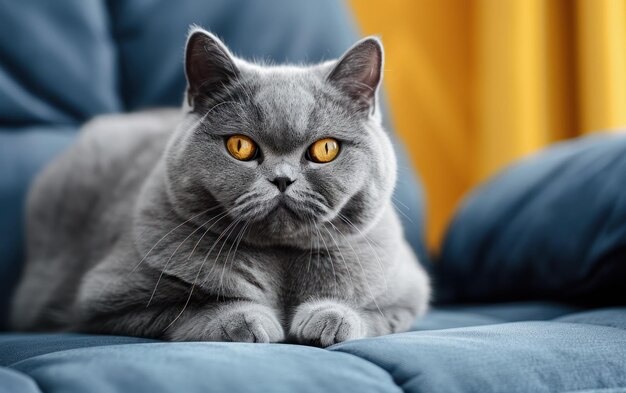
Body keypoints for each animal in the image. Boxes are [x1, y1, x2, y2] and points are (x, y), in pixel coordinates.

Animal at [9, 28, 428, 346]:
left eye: (325, 149)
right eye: (240, 146)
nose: (282, 179)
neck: (281, 262)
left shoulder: (408, 293)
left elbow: (373, 313)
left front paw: (329, 318)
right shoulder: (109, 301)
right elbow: (190, 310)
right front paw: (249, 322)